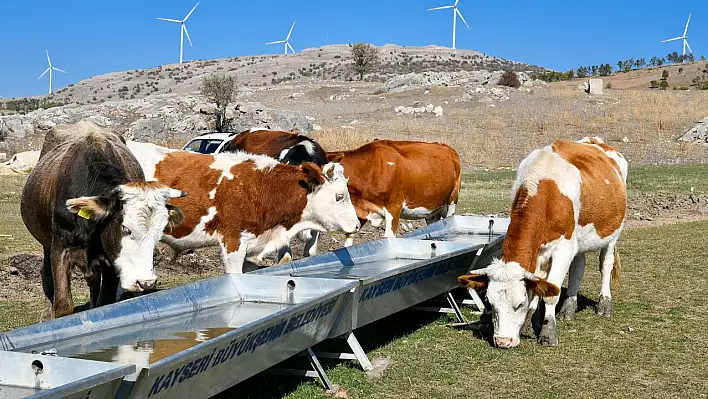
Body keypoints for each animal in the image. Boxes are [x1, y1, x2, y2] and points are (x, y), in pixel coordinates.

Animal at [21, 122, 184, 322]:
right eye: (125, 228)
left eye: (159, 233)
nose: (145, 282)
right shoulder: (61, 248)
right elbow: (63, 304)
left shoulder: (111, 259)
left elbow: (104, 303)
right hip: (46, 244)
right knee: (46, 273)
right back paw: (46, 314)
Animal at [324, 140, 460, 247]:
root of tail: (449, 149)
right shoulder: (360, 208)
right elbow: (348, 239)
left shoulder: (394, 207)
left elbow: (389, 237)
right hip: (431, 210)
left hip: (452, 200)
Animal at [456, 138, 628, 350]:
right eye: (491, 303)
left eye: (519, 304)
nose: (503, 341)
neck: (544, 186)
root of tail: (596, 142)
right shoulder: (539, 251)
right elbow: (539, 284)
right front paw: (529, 324)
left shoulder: (563, 248)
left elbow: (551, 292)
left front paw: (547, 333)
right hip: (579, 240)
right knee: (578, 267)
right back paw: (569, 308)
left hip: (613, 232)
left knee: (606, 264)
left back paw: (604, 304)